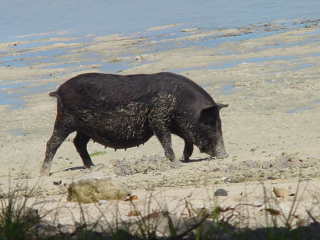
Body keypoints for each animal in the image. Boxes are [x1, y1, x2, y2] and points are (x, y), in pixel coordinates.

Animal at [41, 72, 229, 175]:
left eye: (220, 122)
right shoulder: (158, 118)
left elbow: (186, 139)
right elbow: (167, 140)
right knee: (52, 142)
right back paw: (45, 173)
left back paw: (93, 167)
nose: (225, 155)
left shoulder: (175, 124)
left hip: (85, 128)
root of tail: (59, 90)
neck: (182, 104)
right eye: (209, 123)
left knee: (78, 142)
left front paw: (185, 159)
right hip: (65, 119)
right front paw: (176, 163)